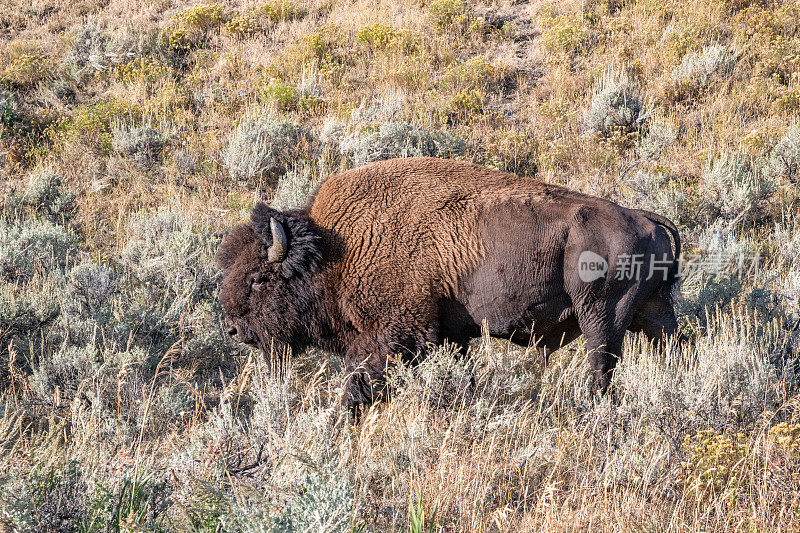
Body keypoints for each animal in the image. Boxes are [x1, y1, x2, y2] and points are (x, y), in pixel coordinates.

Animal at [219, 156, 680, 410]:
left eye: (258, 279)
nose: (234, 330)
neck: (337, 248)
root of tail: (646, 218)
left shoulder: (387, 336)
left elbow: (360, 385)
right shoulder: (449, 335)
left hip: (600, 317)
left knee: (601, 366)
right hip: (653, 312)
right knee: (670, 346)